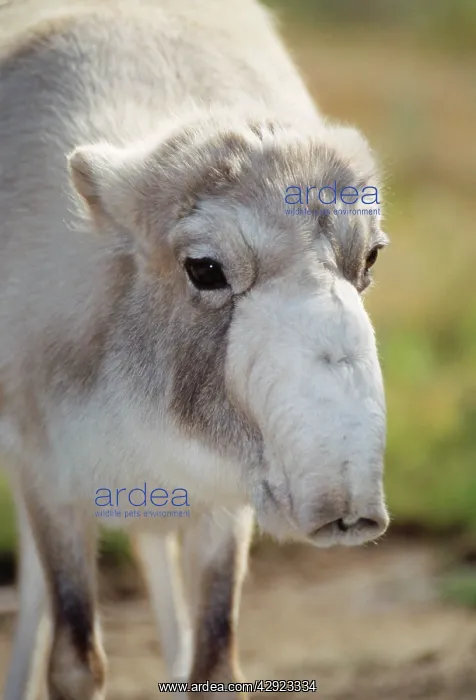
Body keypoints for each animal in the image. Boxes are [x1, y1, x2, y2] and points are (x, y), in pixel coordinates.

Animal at [0, 0, 389, 698]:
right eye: (205, 269)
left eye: (369, 256)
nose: (345, 504)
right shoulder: (49, 484)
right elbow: (73, 660)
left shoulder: (222, 506)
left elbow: (215, 658)